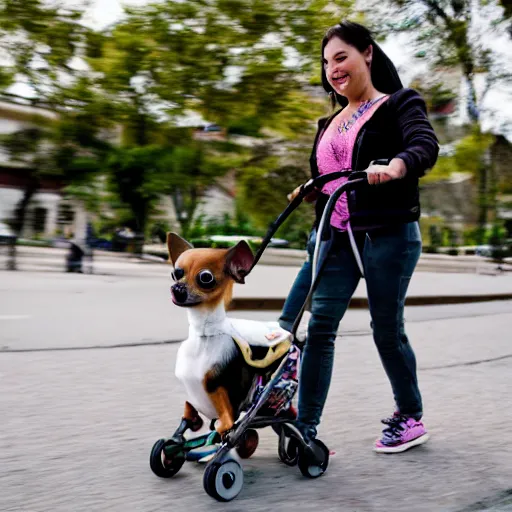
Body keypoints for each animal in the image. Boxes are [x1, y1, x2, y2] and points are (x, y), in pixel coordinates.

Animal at [168, 232, 292, 436]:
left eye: (205, 277)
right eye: (175, 274)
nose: (177, 288)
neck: (205, 335)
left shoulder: (217, 387)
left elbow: (226, 415)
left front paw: (224, 429)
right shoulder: (192, 393)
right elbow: (188, 406)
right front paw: (188, 423)